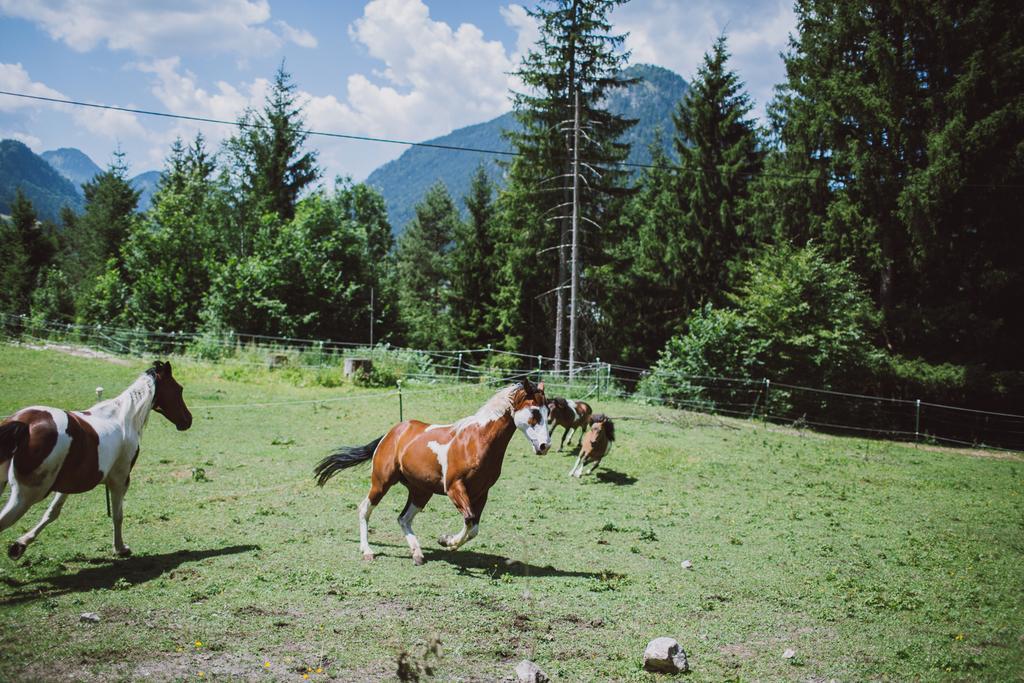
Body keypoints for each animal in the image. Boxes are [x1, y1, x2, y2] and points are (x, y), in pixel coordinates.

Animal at [0, 360, 192, 557]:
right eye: (179, 389)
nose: (188, 420)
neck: (123, 417)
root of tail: (25, 423)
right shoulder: (120, 480)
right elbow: (118, 515)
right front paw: (120, 548)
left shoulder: (70, 482)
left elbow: (53, 512)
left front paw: (21, 544)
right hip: (27, 494)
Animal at [315, 378, 552, 565]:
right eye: (534, 412)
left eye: (548, 412)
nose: (545, 446)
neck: (476, 441)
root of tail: (392, 433)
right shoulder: (454, 487)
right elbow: (469, 519)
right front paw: (447, 541)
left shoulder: (481, 493)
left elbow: (474, 527)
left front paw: (447, 542)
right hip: (381, 483)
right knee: (365, 508)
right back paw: (367, 551)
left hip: (421, 491)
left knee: (403, 519)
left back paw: (417, 554)